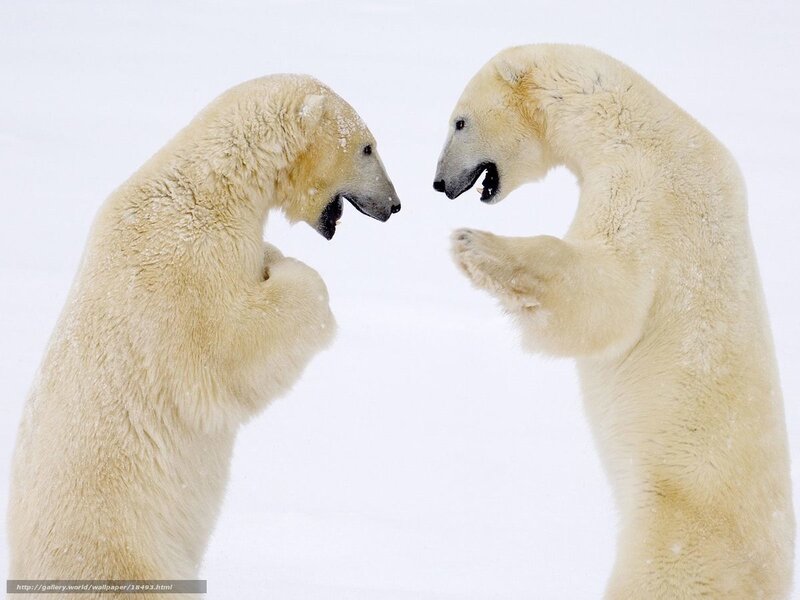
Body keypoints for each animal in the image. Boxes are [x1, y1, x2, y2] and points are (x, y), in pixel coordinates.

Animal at [7, 74, 399, 595]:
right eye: (367, 147)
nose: (394, 205)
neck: (212, 186)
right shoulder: (186, 264)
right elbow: (231, 348)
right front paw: (290, 273)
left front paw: (272, 256)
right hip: (123, 556)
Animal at [433, 44, 794, 599]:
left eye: (459, 121)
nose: (439, 183)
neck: (633, 123)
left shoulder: (648, 189)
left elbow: (610, 297)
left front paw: (475, 245)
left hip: (677, 538)